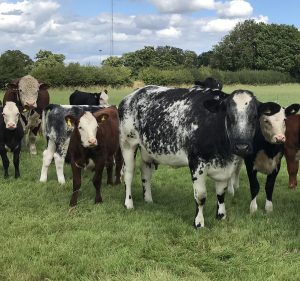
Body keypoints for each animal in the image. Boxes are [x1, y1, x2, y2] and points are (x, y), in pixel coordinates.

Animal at [119, 85, 282, 228]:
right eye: (229, 116)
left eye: (254, 117)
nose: (242, 147)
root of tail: (132, 95)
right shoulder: (197, 163)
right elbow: (201, 196)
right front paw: (199, 223)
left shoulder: (225, 167)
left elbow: (221, 193)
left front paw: (221, 216)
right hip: (128, 143)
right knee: (128, 174)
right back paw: (129, 203)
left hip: (147, 150)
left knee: (145, 173)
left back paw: (148, 200)